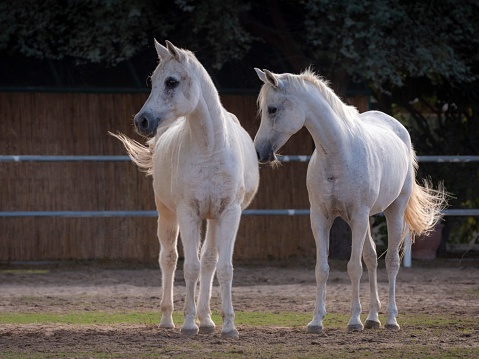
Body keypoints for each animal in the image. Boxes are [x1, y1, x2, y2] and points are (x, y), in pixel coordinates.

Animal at [111, 40, 258, 338]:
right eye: (152, 81)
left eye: (171, 81)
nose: (142, 121)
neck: (210, 148)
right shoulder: (188, 212)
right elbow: (189, 267)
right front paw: (189, 324)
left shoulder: (229, 213)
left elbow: (223, 268)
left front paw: (228, 326)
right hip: (168, 214)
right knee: (169, 259)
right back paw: (168, 319)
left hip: (211, 219)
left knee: (209, 261)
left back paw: (208, 320)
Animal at [255, 68, 446, 334]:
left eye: (272, 109)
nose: (259, 152)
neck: (337, 153)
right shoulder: (320, 218)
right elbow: (322, 269)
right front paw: (316, 321)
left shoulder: (357, 216)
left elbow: (354, 268)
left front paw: (354, 320)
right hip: (366, 220)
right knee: (372, 258)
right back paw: (373, 317)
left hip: (392, 212)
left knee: (391, 262)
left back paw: (390, 319)